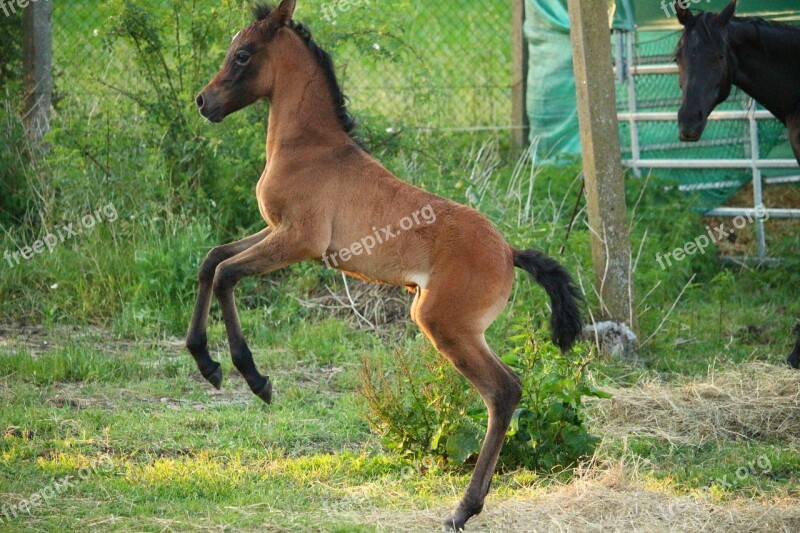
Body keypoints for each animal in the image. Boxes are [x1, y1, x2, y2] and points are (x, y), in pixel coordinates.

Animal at [191, 2, 584, 528]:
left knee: (504, 392)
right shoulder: (275, 231)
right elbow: (211, 260)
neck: (310, 148)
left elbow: (226, 274)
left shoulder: (297, 240)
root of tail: (508, 252)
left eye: (243, 54)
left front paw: (254, 379)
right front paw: (206, 363)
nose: (203, 102)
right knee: (509, 389)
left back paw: (462, 509)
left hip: (442, 324)